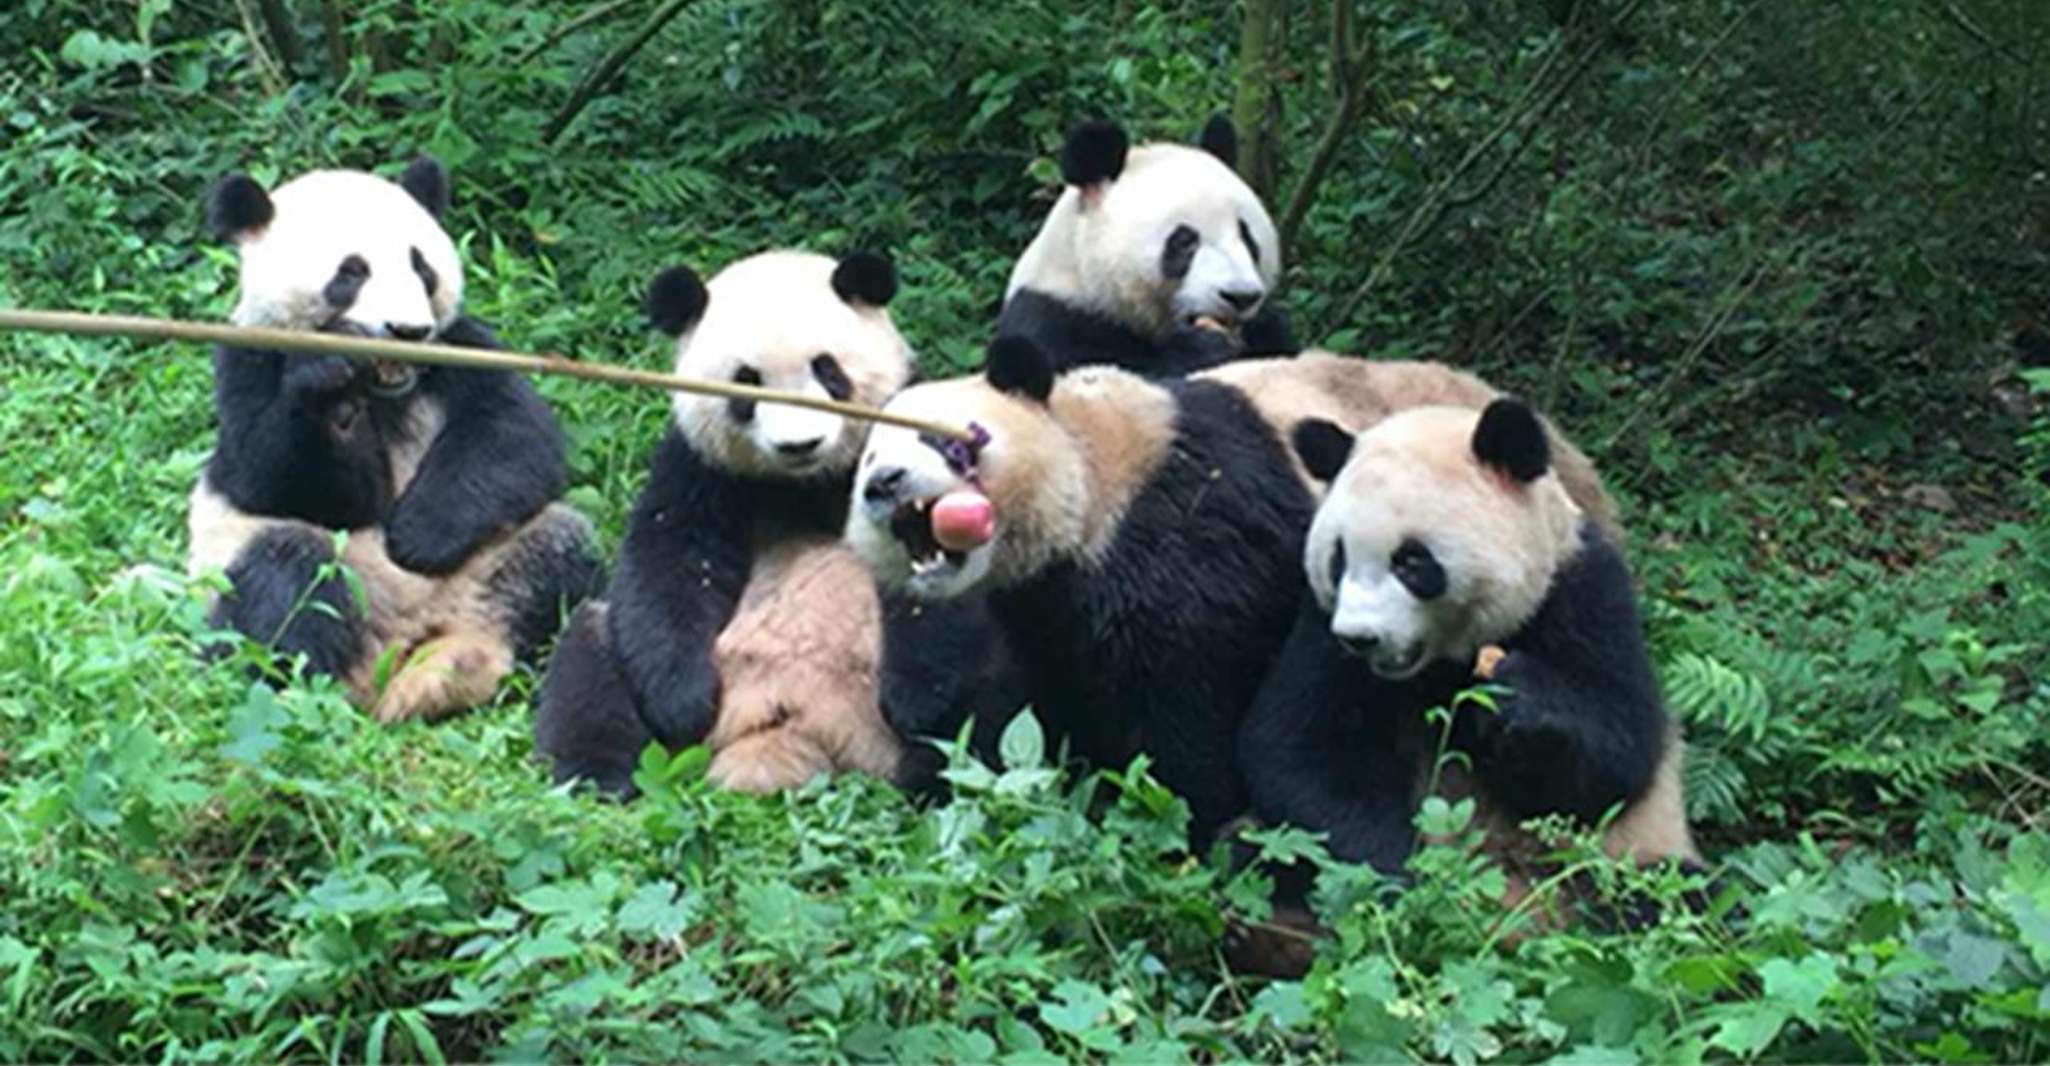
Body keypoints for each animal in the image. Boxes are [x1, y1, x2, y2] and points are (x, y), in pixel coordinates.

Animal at [187, 156, 602, 723]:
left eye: (420, 266)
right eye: (351, 272)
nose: (408, 330)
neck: (385, 390)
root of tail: (399, 650)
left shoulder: (461, 347)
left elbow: (514, 434)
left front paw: (416, 535)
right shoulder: (247, 356)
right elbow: (273, 477)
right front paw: (330, 391)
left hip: (488, 566)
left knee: (559, 552)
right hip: (259, 569)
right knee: (286, 574)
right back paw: (300, 688)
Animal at [531, 251, 1025, 797]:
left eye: (827, 370)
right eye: (746, 382)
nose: (799, 445)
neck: (807, 481)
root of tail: (795, 730)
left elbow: (938, 565)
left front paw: (913, 696)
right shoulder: (701, 466)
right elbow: (671, 559)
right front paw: (684, 702)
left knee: (993, 694)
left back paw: (936, 778)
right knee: (591, 654)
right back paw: (599, 777)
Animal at [845, 341, 1619, 844]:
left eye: (950, 444)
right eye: (868, 459)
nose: (885, 485)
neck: (1102, 466)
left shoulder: (1188, 535)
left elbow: (1188, 714)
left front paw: (1171, 817)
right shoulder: (1031, 599)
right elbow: (985, 707)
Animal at [998, 116, 1296, 377]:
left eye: (1247, 236)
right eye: (1184, 241)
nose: (1240, 296)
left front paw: (1263, 330)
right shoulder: (1051, 315)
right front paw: (1200, 348)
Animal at [1237, 400, 1698, 923]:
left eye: (1411, 561)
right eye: (1338, 559)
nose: (1360, 639)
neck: (1445, 663)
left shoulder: (1582, 588)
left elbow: (1619, 752)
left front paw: (1515, 698)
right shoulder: (1320, 626)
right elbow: (1302, 748)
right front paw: (1399, 886)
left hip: (1623, 859)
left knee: (1667, 894)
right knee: (1265, 852)